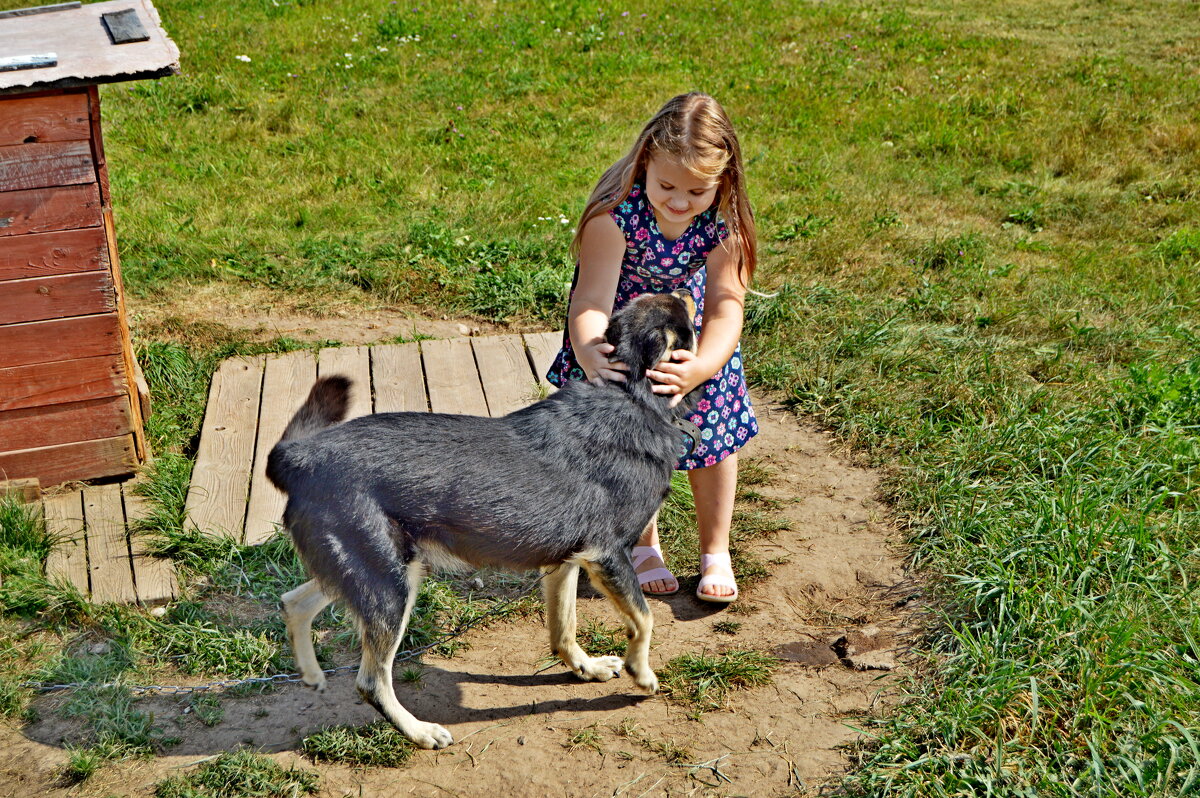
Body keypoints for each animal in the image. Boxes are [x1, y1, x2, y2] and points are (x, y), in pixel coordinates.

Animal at [270, 291, 700, 748]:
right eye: (684, 316)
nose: (688, 291)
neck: (633, 395)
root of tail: (301, 456)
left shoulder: (567, 562)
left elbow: (564, 628)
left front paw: (586, 667)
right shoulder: (609, 556)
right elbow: (645, 619)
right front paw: (642, 673)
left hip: (372, 572)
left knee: (294, 603)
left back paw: (311, 674)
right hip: (390, 586)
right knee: (371, 680)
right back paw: (419, 731)